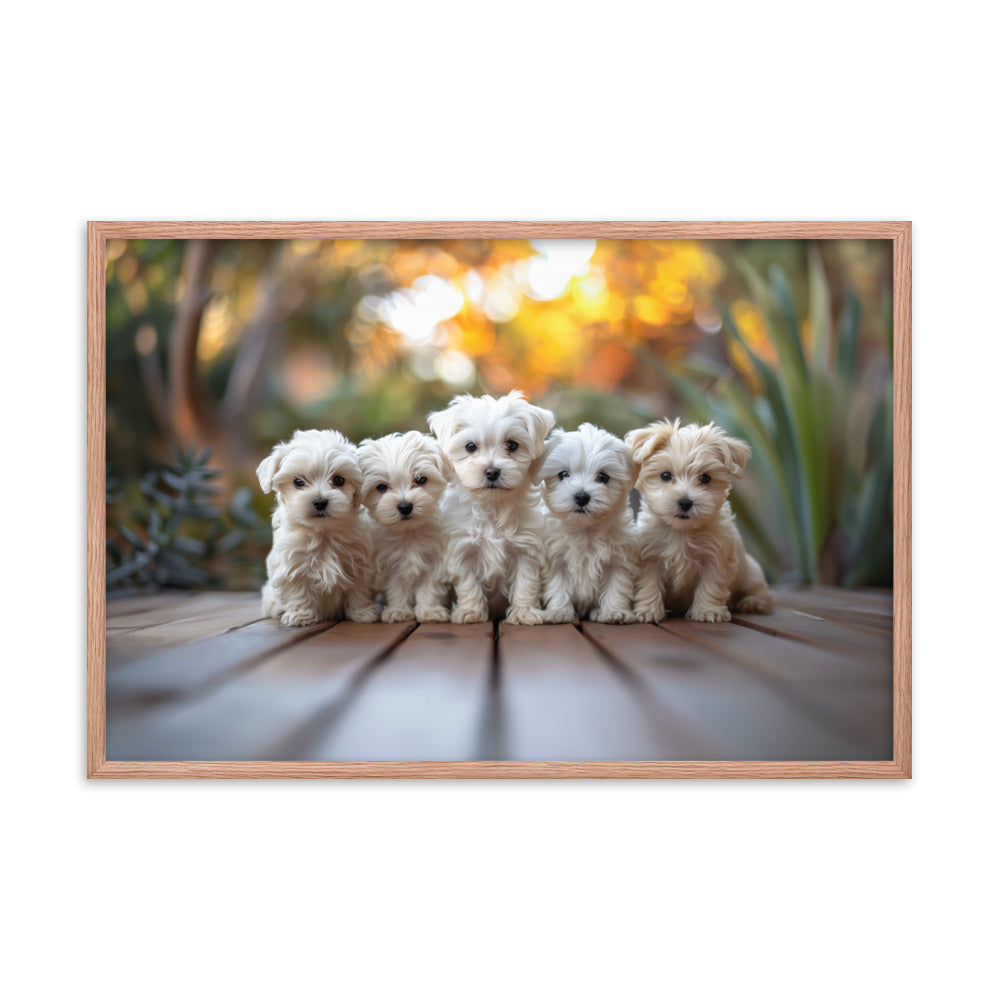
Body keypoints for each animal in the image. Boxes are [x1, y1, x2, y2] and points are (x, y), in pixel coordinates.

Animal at [256, 428, 380, 624]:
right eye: (298, 482)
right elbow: (297, 590)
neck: (323, 532)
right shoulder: (292, 565)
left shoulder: (360, 563)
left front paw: (362, 612)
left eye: (339, 480)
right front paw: (300, 615)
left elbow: (359, 591)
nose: (320, 501)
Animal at [358, 432, 452, 620]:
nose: (405, 506)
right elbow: (397, 589)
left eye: (421, 479)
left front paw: (429, 611)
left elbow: (429, 588)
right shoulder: (390, 564)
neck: (409, 532)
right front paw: (398, 611)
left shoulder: (434, 561)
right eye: (381, 487)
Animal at [428, 390, 560, 624]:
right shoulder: (464, 550)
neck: (493, 505)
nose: (492, 472)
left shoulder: (526, 549)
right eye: (470, 446)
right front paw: (470, 612)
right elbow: (469, 583)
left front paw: (524, 613)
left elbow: (526, 582)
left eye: (512, 445)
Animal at [540, 422, 640, 624]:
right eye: (563, 474)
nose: (581, 496)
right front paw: (558, 611)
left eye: (603, 477)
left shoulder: (618, 559)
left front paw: (614, 611)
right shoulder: (556, 559)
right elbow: (558, 585)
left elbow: (617, 585)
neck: (585, 530)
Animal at [624, 418, 772, 620]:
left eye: (706, 478)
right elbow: (649, 584)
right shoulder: (650, 556)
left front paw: (708, 611)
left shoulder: (716, 557)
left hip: (751, 574)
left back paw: (751, 602)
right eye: (665, 475)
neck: (682, 531)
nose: (685, 502)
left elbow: (711, 584)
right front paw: (647, 610)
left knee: (762, 593)